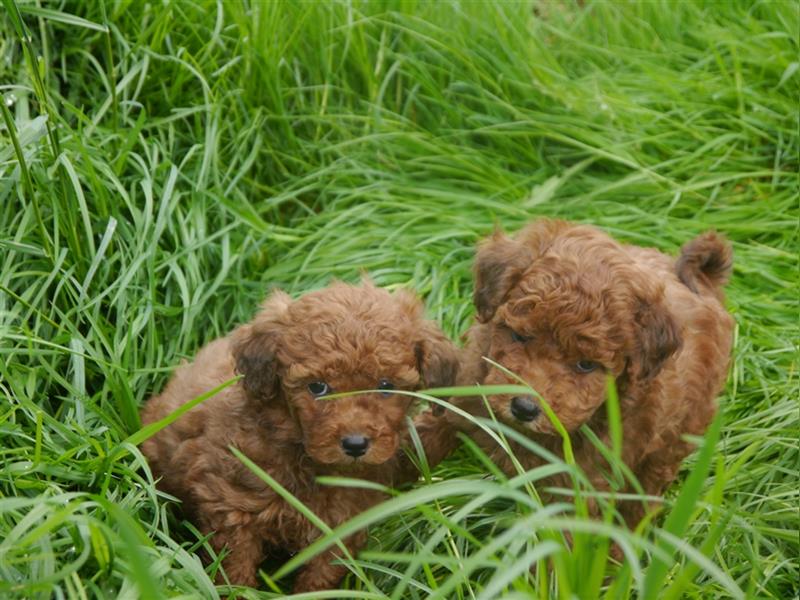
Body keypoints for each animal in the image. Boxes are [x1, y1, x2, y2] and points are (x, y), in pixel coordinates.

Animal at [141, 282, 460, 592]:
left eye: (386, 386)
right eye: (317, 387)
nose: (355, 444)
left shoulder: (341, 524)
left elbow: (320, 578)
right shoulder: (230, 506)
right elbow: (234, 567)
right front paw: (234, 593)